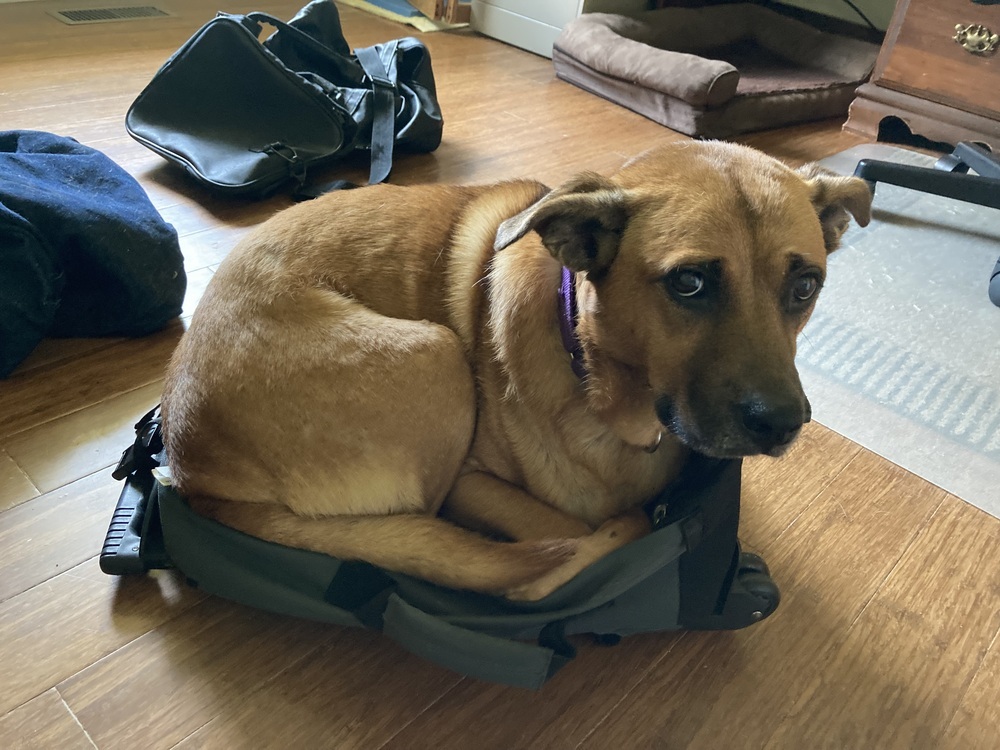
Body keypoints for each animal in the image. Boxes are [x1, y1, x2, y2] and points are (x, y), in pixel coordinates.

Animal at [160, 140, 872, 600]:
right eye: (689, 283)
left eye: (805, 286)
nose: (783, 424)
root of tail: (192, 471)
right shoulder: (473, 485)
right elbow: (585, 531)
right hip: (435, 358)